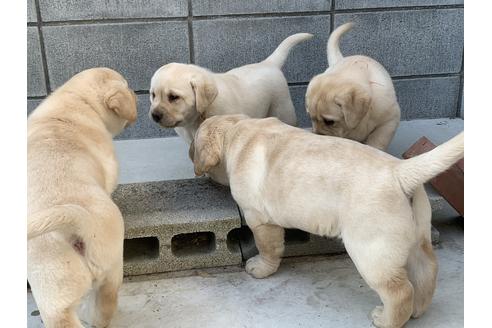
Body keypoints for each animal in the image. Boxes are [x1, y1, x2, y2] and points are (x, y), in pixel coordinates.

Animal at [27, 67, 137, 328]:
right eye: (127, 86)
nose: (136, 94)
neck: (77, 99)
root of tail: (78, 223)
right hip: (104, 269)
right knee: (103, 304)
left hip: (55, 284)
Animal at [148, 32, 314, 145]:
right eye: (153, 95)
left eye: (174, 97)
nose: (155, 115)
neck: (196, 118)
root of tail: (268, 63)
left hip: (283, 109)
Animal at [190, 114, 464, 328]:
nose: (191, 155)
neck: (235, 129)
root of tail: (400, 172)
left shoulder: (259, 217)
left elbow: (268, 247)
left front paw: (261, 268)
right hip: (418, 235)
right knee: (427, 268)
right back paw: (418, 310)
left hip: (371, 249)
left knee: (399, 290)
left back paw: (387, 319)